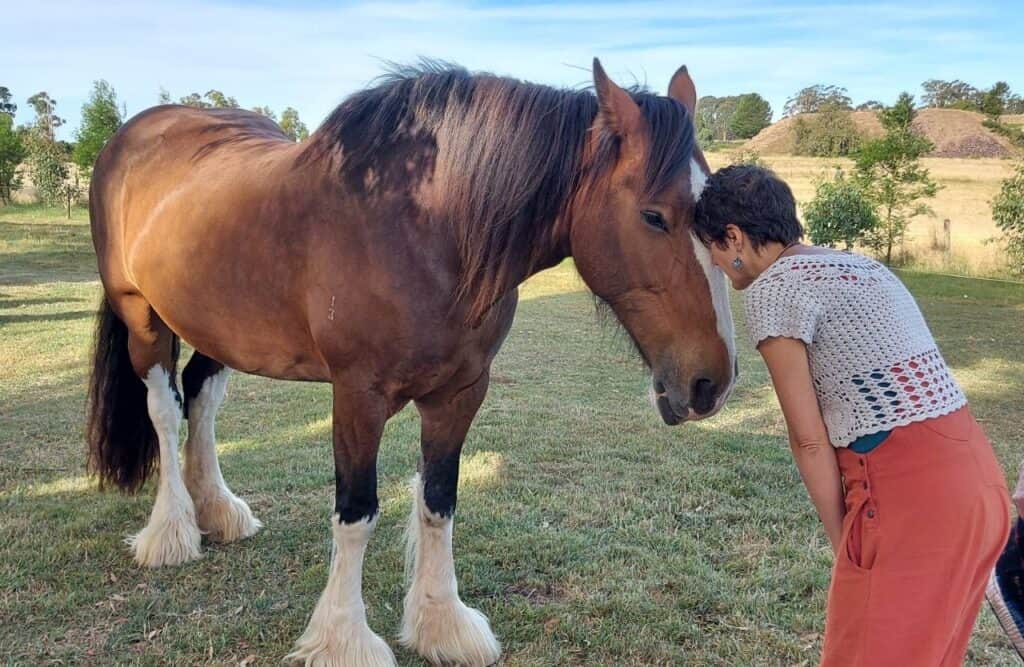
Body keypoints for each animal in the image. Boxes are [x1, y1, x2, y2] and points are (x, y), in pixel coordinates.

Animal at [85, 59, 736, 666]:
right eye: (654, 215)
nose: (712, 383)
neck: (425, 227)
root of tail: (136, 134)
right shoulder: (358, 397)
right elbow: (356, 512)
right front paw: (344, 638)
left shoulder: (460, 393)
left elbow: (439, 501)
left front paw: (441, 624)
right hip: (143, 317)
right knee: (165, 410)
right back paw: (172, 531)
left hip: (219, 328)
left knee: (201, 397)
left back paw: (217, 510)